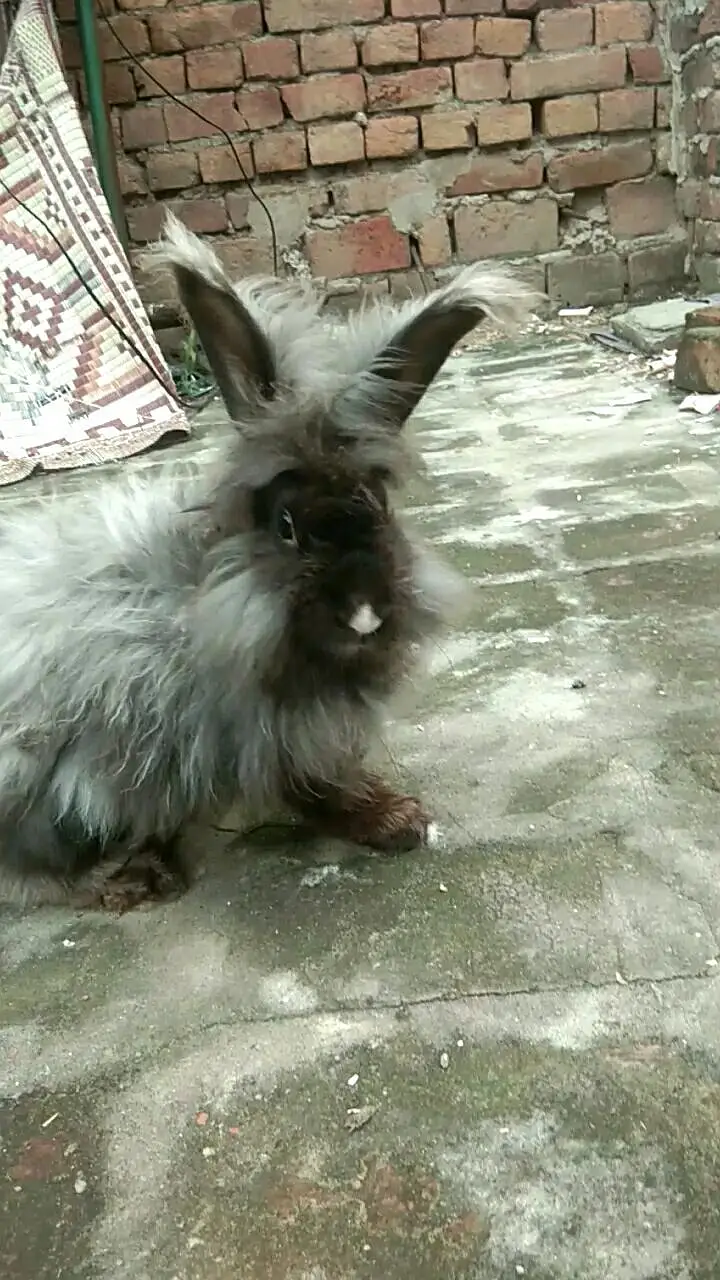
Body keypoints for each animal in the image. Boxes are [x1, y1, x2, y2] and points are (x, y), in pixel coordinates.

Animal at [0, 213, 540, 910]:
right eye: (286, 528)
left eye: (382, 508)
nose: (364, 614)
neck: (198, 605)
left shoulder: (294, 738)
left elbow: (322, 785)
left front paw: (395, 819)